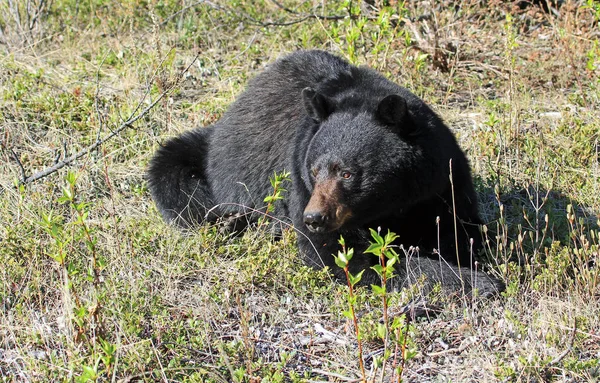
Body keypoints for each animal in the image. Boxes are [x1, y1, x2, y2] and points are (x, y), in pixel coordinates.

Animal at [148, 50, 504, 296]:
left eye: (346, 173)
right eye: (315, 170)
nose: (314, 218)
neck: (395, 203)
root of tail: (218, 128)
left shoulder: (442, 181)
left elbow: (463, 228)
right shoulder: (299, 183)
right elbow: (343, 254)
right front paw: (475, 281)